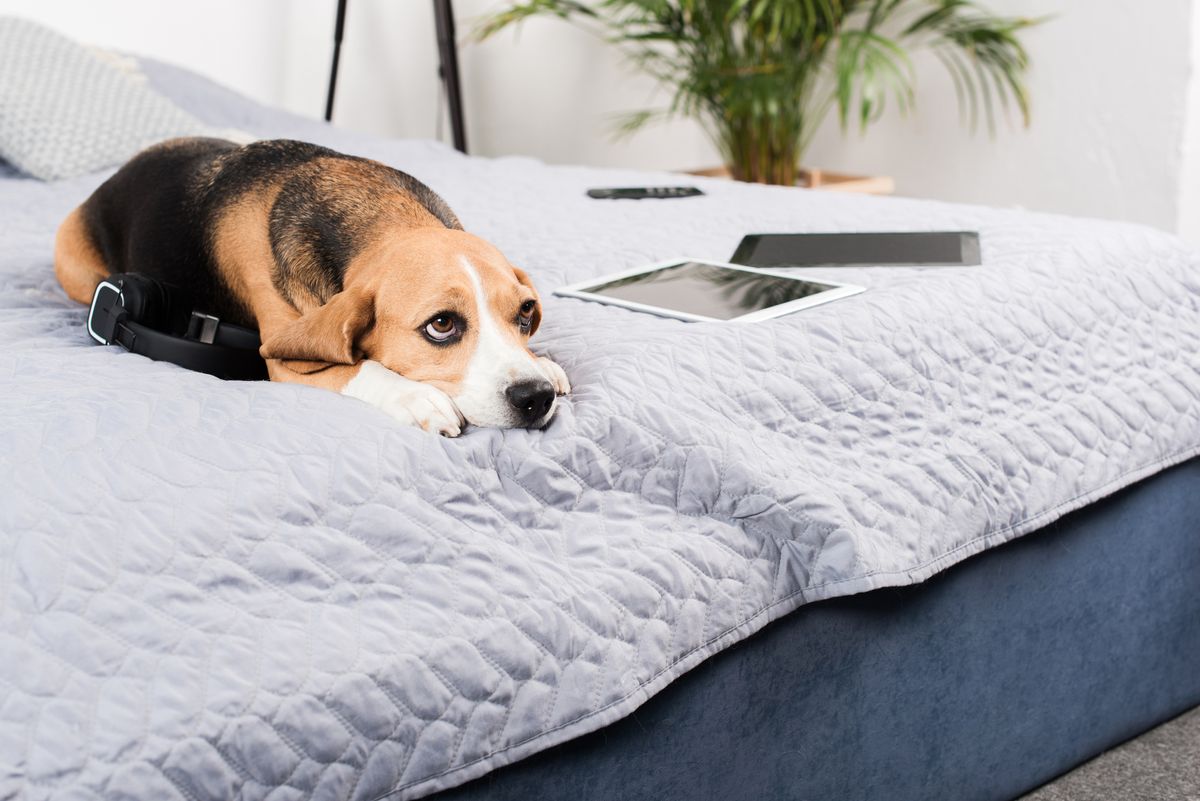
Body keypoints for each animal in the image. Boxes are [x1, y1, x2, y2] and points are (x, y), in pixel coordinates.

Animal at [51, 140, 566, 434]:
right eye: (441, 325)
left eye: (525, 312)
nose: (535, 396)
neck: (380, 217)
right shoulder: (284, 358)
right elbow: (355, 368)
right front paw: (415, 397)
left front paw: (545, 363)